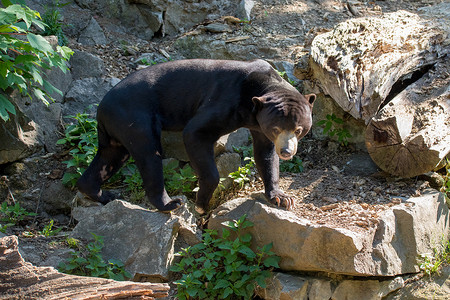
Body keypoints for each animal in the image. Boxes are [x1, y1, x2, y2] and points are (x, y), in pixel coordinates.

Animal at [76, 59, 316, 213]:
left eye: (298, 130)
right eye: (276, 128)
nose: (287, 151)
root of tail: (101, 108)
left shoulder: (259, 126)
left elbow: (265, 155)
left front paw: (282, 198)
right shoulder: (226, 101)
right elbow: (195, 132)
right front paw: (201, 204)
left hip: (117, 129)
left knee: (110, 157)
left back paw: (101, 194)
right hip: (135, 118)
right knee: (149, 156)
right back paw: (170, 204)